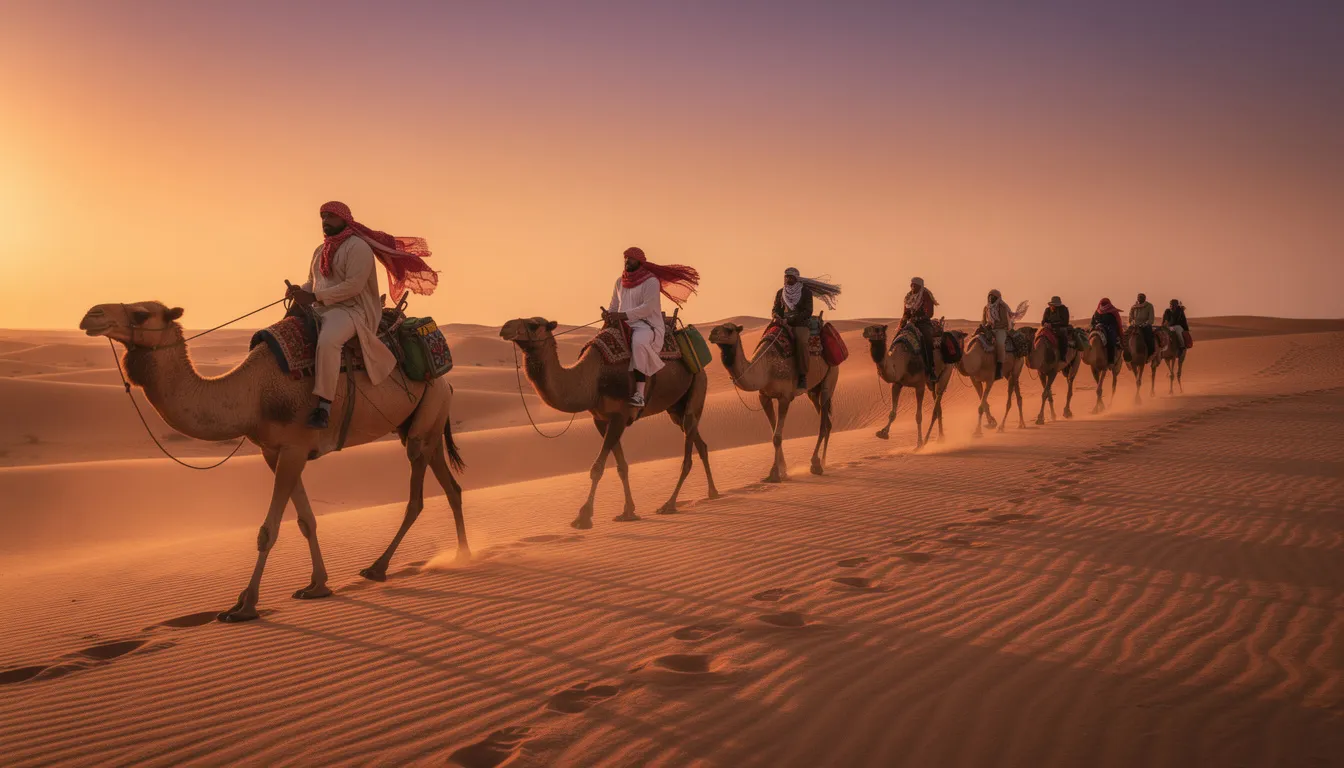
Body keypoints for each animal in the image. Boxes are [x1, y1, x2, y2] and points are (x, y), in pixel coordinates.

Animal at [79, 301, 469, 623]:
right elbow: (306, 520)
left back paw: (378, 567)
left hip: (424, 423)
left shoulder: (294, 448)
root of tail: (448, 381)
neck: (253, 395)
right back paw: (462, 553)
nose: (91, 315)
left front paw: (244, 605)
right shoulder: (274, 451)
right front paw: (316, 586)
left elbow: (269, 531)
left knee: (417, 498)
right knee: (452, 487)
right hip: (425, 426)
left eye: (141, 313)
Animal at [500, 315, 719, 528]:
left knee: (688, 454)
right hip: (675, 408)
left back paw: (669, 504)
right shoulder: (601, 420)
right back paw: (713, 492)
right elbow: (621, 466)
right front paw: (628, 512)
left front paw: (583, 517)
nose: (505, 327)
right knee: (700, 443)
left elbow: (597, 468)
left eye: (533, 324)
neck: (593, 380)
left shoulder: (619, 416)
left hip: (696, 389)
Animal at [708, 322, 839, 481]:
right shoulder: (764, 396)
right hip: (813, 390)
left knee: (824, 423)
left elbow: (777, 437)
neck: (766, 368)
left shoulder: (785, 397)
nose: (712, 333)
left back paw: (817, 464)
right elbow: (773, 431)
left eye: (729, 329)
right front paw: (783, 470)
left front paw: (774, 473)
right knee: (827, 422)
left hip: (830, 377)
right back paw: (823, 462)